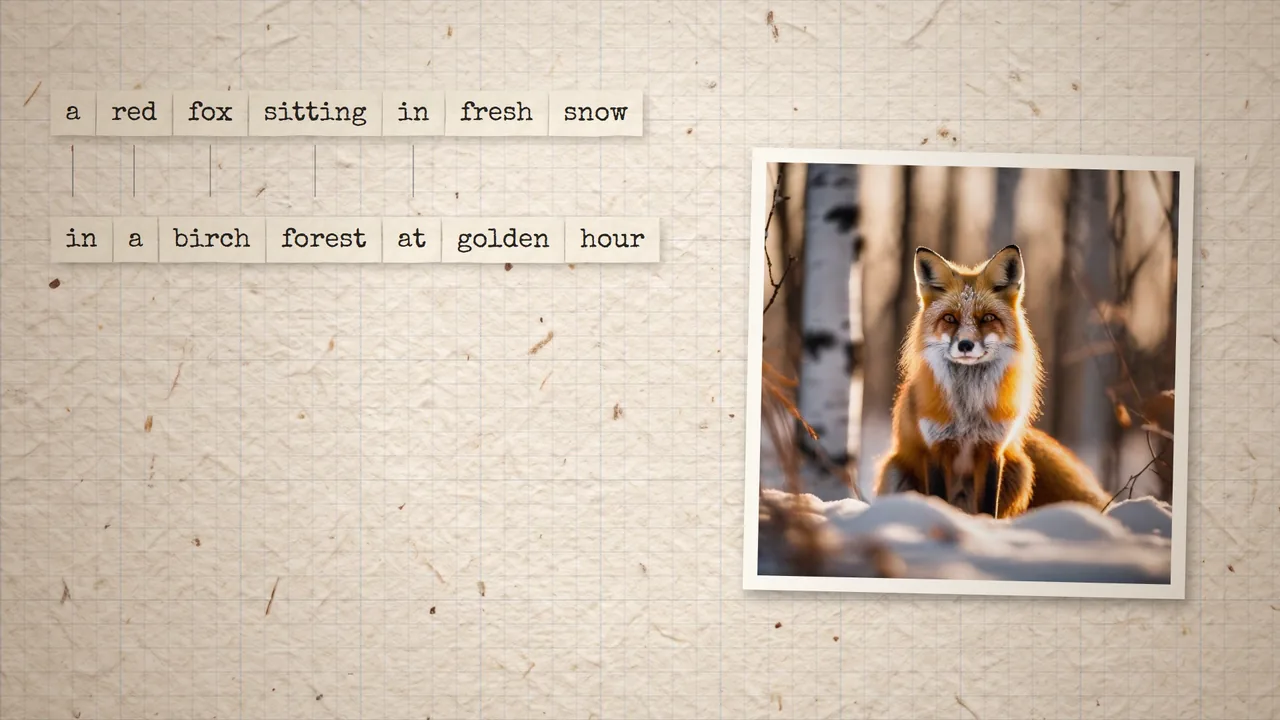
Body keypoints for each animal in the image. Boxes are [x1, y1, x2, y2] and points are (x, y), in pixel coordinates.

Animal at [872, 244, 1111, 519]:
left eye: (987, 318)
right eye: (950, 318)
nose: (965, 345)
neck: (968, 409)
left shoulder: (992, 449)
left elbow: (988, 506)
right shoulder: (935, 448)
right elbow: (938, 498)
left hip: (1021, 469)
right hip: (894, 471)